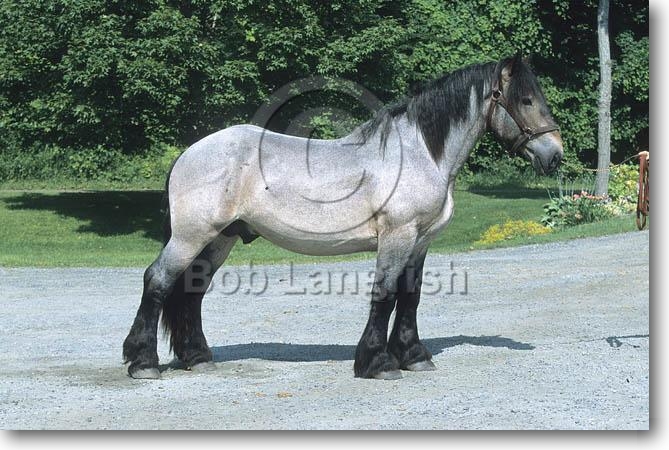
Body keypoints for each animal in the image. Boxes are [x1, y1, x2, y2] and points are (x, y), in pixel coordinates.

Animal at [123, 54, 563, 380]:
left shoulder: (420, 242)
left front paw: (414, 355)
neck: (419, 153)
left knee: (191, 292)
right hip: (192, 236)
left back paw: (197, 357)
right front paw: (378, 363)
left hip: (219, 238)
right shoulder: (398, 236)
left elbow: (410, 296)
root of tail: (190, 152)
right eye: (525, 100)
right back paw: (143, 363)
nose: (554, 155)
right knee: (157, 281)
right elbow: (385, 295)